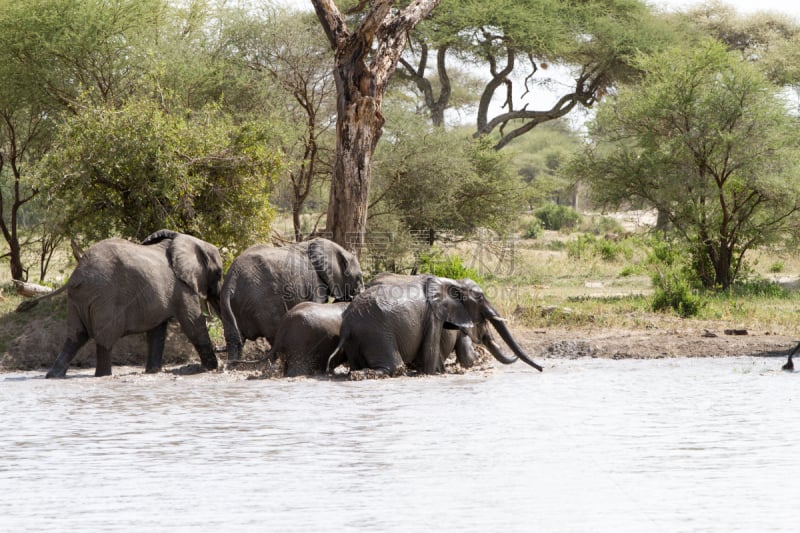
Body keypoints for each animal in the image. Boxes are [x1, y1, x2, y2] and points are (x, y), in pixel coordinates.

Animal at [18, 230, 225, 378]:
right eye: (219, 273)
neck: (192, 241)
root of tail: (76, 275)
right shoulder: (181, 286)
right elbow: (192, 323)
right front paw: (211, 367)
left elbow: (157, 331)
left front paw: (153, 372)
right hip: (104, 297)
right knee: (105, 339)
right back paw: (103, 375)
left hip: (78, 299)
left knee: (75, 337)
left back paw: (53, 376)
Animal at [222, 237, 366, 362]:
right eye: (359, 277)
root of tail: (232, 279)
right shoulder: (314, 280)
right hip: (261, 298)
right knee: (273, 331)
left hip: (229, 302)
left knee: (234, 339)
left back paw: (233, 364)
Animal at [326, 272, 544, 376]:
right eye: (481, 298)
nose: (542, 369)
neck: (453, 282)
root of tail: (347, 326)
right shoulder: (434, 314)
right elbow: (431, 355)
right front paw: (433, 373)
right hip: (378, 333)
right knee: (394, 366)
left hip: (356, 340)